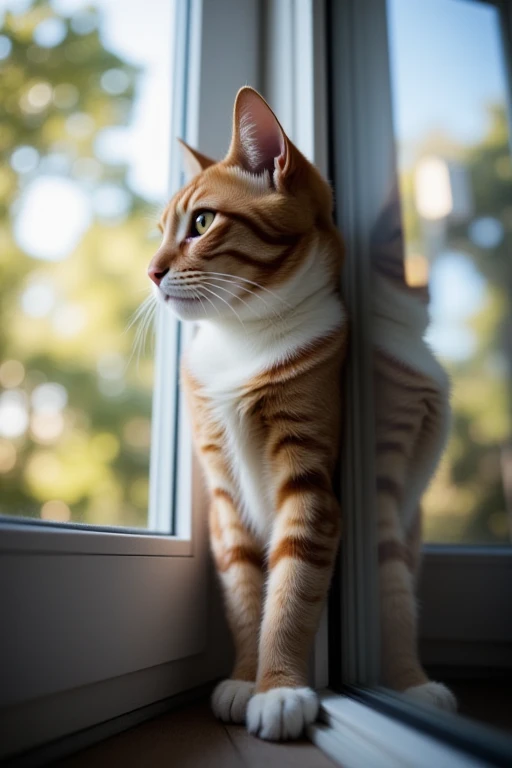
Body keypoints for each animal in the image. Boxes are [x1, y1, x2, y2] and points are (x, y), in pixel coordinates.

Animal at [148, 87, 348, 740]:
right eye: (159, 231)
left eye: (202, 223)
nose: (151, 273)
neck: (241, 337)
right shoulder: (223, 496)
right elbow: (242, 591)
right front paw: (243, 678)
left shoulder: (308, 484)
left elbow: (289, 591)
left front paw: (278, 687)